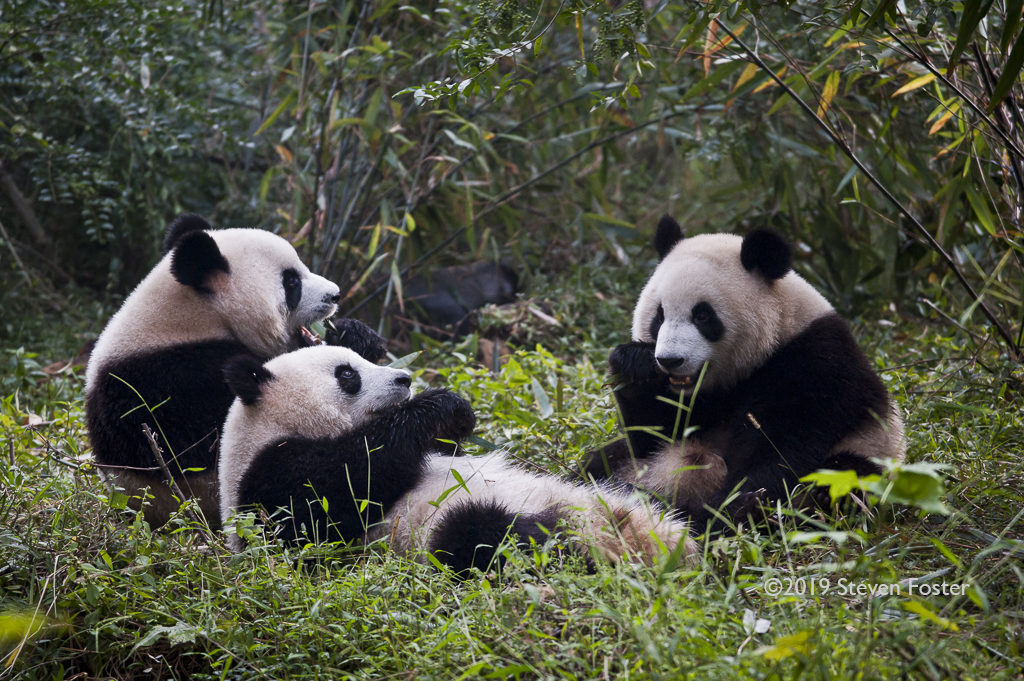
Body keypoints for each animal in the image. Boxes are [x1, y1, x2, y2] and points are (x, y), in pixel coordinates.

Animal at [219, 342, 692, 569]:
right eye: (347, 374)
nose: (403, 378)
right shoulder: (267, 479)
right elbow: (337, 495)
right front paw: (439, 406)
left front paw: (457, 419)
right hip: (445, 529)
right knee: (485, 535)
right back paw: (571, 539)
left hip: (619, 489)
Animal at [581, 216, 909, 532]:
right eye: (659, 316)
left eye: (703, 315)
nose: (670, 360)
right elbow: (651, 436)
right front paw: (635, 365)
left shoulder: (814, 365)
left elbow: (782, 449)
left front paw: (732, 509)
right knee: (602, 461)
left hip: (872, 447)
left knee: (846, 475)